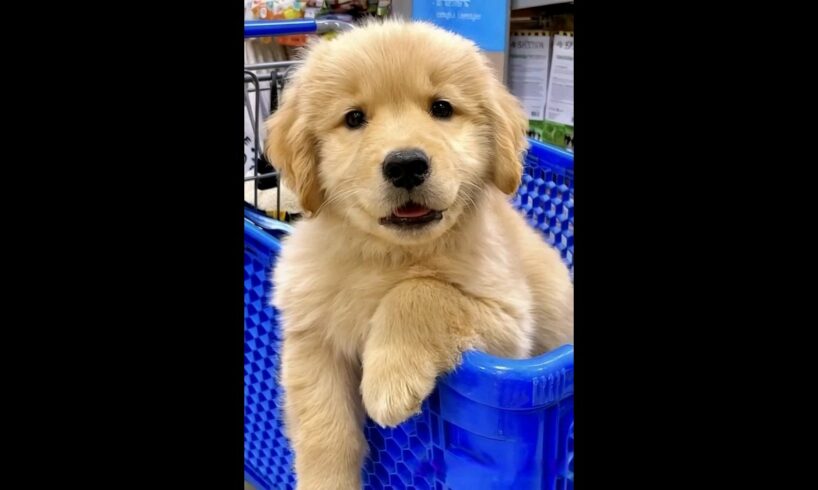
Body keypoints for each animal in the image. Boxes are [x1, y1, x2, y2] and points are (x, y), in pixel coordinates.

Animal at [264, 20, 572, 490]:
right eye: (354, 118)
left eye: (442, 108)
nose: (406, 164)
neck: (388, 254)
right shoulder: (311, 333)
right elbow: (323, 430)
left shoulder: (508, 322)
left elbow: (420, 290)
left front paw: (388, 379)